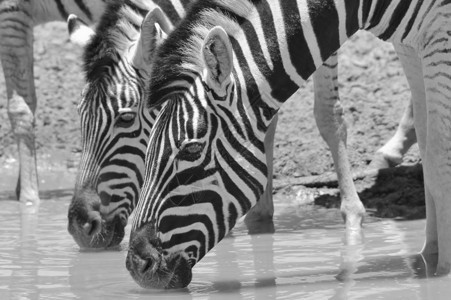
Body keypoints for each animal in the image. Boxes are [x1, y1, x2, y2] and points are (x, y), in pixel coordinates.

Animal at [69, 0, 418, 250]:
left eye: (126, 118)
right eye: (79, 117)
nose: (78, 227)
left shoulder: (318, 30)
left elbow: (327, 115)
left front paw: (353, 219)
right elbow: (262, 112)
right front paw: (259, 217)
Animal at [124, 0, 451, 288]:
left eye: (191, 149)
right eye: (147, 146)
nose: (135, 266)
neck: (360, 7)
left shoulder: (438, 31)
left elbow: (438, 160)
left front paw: (441, 275)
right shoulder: (412, 42)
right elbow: (428, 151)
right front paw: (425, 262)